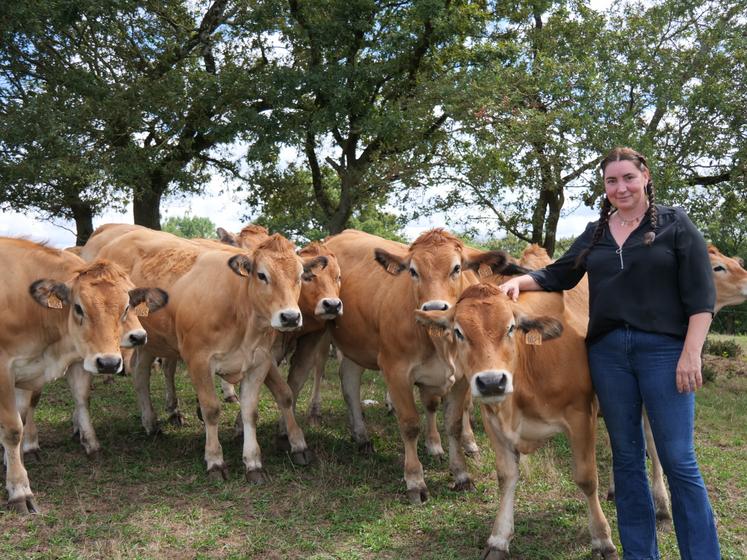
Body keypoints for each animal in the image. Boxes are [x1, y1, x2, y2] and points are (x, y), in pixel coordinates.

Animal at [0, 238, 165, 516]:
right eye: (78, 307)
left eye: (127, 307)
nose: (109, 363)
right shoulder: (5, 370)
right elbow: (13, 429)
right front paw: (19, 489)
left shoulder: (62, 363)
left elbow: (79, 400)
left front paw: (90, 445)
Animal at [91, 229, 324, 482]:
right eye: (262, 275)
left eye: (300, 276)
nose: (290, 317)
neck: (239, 310)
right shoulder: (199, 360)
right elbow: (211, 409)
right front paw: (215, 460)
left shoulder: (259, 362)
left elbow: (255, 409)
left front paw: (254, 462)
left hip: (151, 341)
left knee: (142, 372)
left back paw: (154, 421)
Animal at [312, 228, 528, 504]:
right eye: (413, 271)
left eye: (456, 268)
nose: (434, 308)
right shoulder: (396, 371)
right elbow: (410, 425)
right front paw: (415, 481)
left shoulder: (461, 378)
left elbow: (454, 424)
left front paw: (461, 474)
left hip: (354, 346)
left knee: (349, 383)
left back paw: (361, 437)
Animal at [414, 284, 620, 560]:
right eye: (458, 332)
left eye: (511, 327)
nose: (491, 382)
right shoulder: (493, 421)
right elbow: (506, 477)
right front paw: (498, 540)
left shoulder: (580, 416)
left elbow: (586, 478)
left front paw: (602, 540)